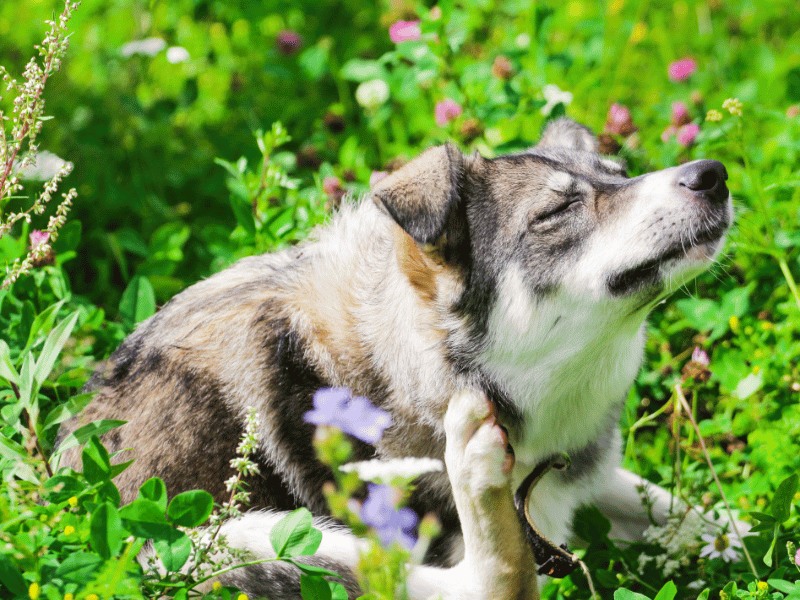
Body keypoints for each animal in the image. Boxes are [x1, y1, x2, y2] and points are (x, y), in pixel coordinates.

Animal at [57, 118, 732, 600]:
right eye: (556, 211)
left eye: (621, 173)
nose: (713, 173)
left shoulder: (584, 480)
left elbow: (705, 518)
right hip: (227, 539)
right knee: (485, 587)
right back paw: (476, 469)